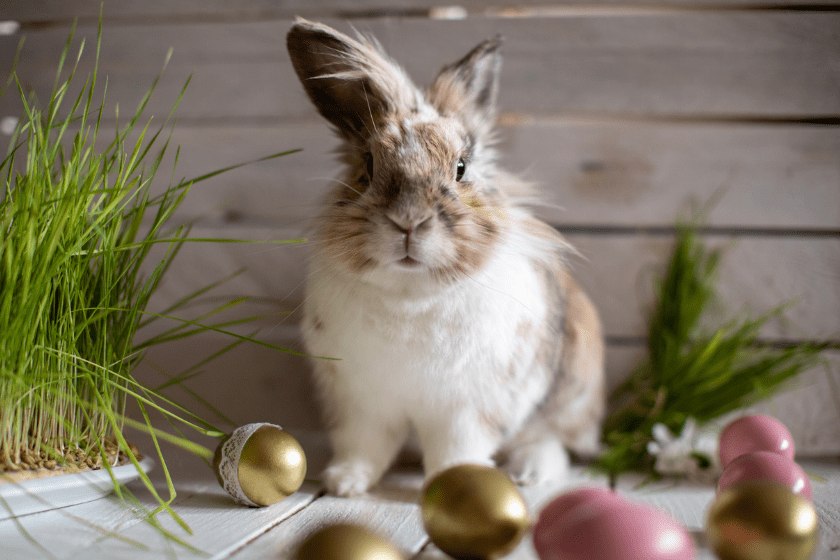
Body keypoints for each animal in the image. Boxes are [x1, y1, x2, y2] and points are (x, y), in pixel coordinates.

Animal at [288, 18, 604, 498]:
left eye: (461, 168)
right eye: (368, 166)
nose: (408, 221)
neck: (410, 294)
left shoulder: (468, 410)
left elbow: (457, 450)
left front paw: (459, 486)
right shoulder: (361, 403)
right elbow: (363, 445)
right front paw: (345, 483)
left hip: (571, 390)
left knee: (549, 438)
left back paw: (531, 473)